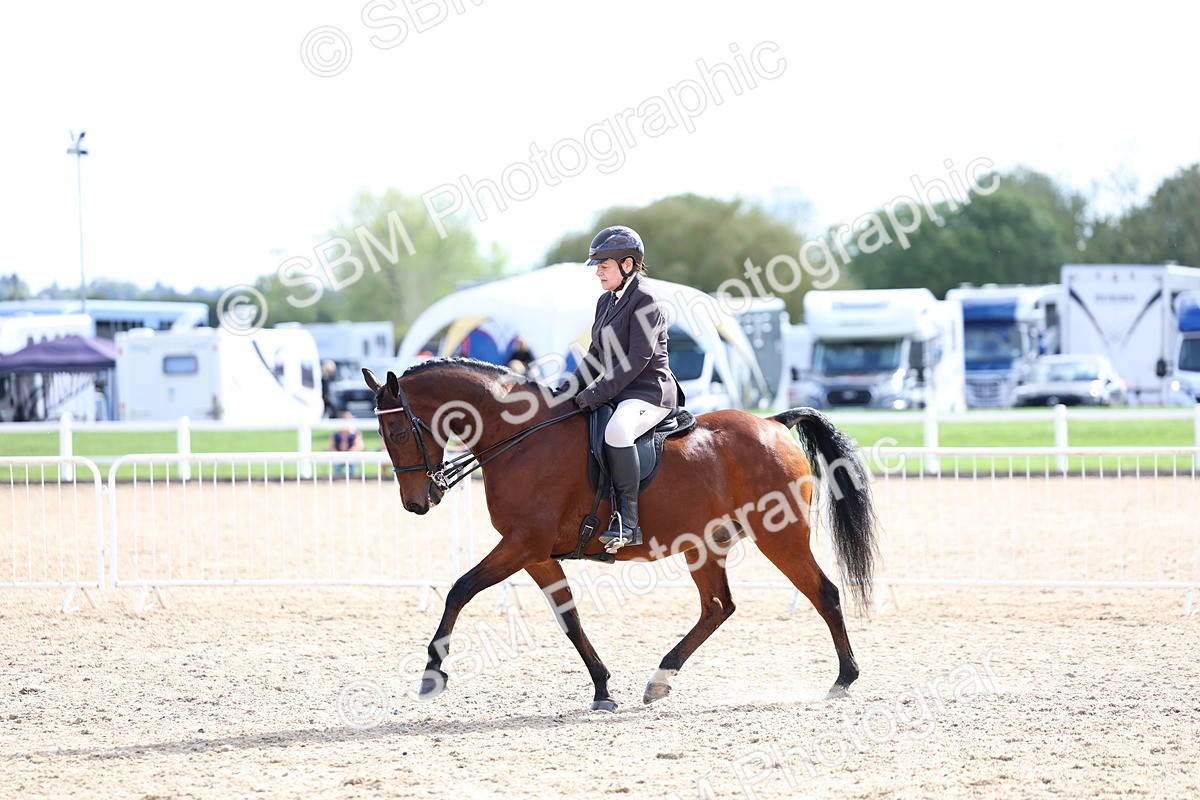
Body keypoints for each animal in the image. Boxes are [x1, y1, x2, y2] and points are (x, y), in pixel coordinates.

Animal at [364, 357, 879, 711]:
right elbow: (569, 620)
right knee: (717, 606)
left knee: (824, 593)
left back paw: (844, 679)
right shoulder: (536, 555)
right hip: (705, 544)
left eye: (398, 432)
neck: (520, 438)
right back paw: (660, 679)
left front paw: (432, 674)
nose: (417, 502)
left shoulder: (521, 545)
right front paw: (602, 688)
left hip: (781, 537)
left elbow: (459, 590)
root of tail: (772, 423)